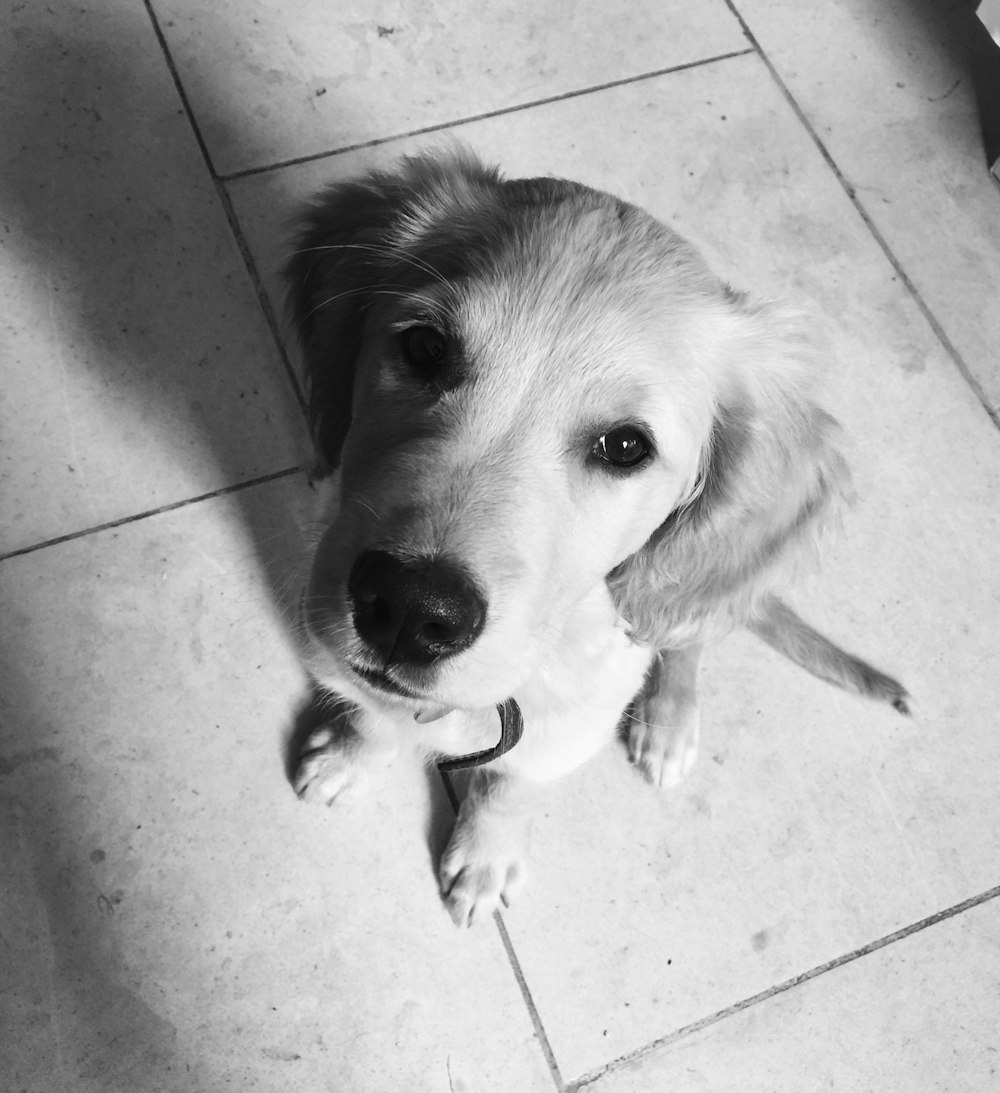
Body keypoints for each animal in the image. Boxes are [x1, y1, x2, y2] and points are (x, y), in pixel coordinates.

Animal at [281, 149, 909, 926]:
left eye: (626, 446)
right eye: (425, 347)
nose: (408, 608)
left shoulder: (568, 729)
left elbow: (510, 784)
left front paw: (485, 857)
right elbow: (371, 716)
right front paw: (349, 759)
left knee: (687, 631)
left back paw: (669, 722)